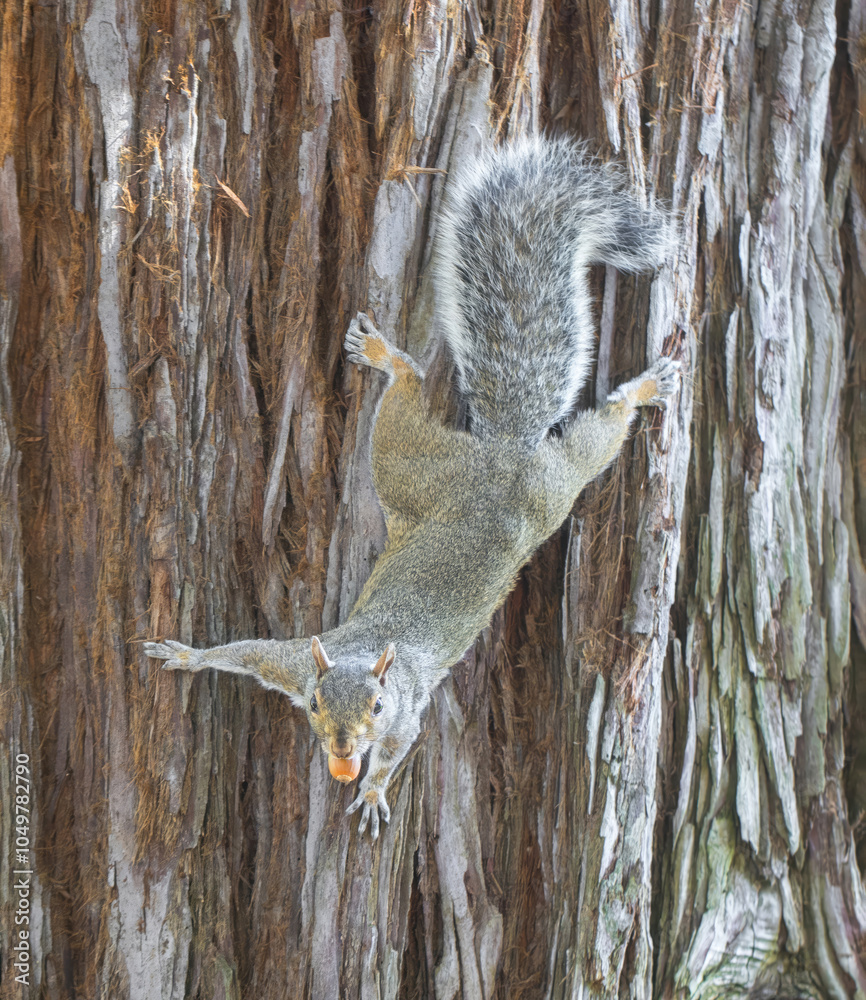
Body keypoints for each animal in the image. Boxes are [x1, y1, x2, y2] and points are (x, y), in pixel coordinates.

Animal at [145, 137, 680, 840]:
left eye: (376, 704)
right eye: (314, 704)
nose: (342, 748)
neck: (366, 659)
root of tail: (503, 458)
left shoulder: (405, 711)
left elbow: (398, 748)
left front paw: (373, 790)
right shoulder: (290, 663)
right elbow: (243, 652)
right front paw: (185, 655)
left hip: (509, 478)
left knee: (533, 412)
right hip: (465, 474)